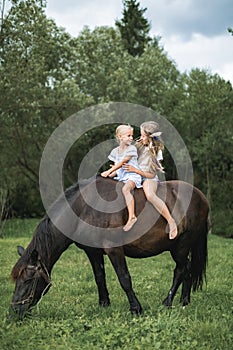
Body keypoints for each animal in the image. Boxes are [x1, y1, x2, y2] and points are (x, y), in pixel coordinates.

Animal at [10, 176, 208, 318]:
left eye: (28, 280)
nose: (13, 313)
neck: (84, 208)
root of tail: (201, 197)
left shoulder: (114, 250)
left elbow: (124, 279)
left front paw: (136, 309)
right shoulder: (92, 252)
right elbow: (99, 277)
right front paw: (104, 303)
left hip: (182, 245)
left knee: (180, 270)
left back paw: (168, 302)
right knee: (187, 268)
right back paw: (184, 301)